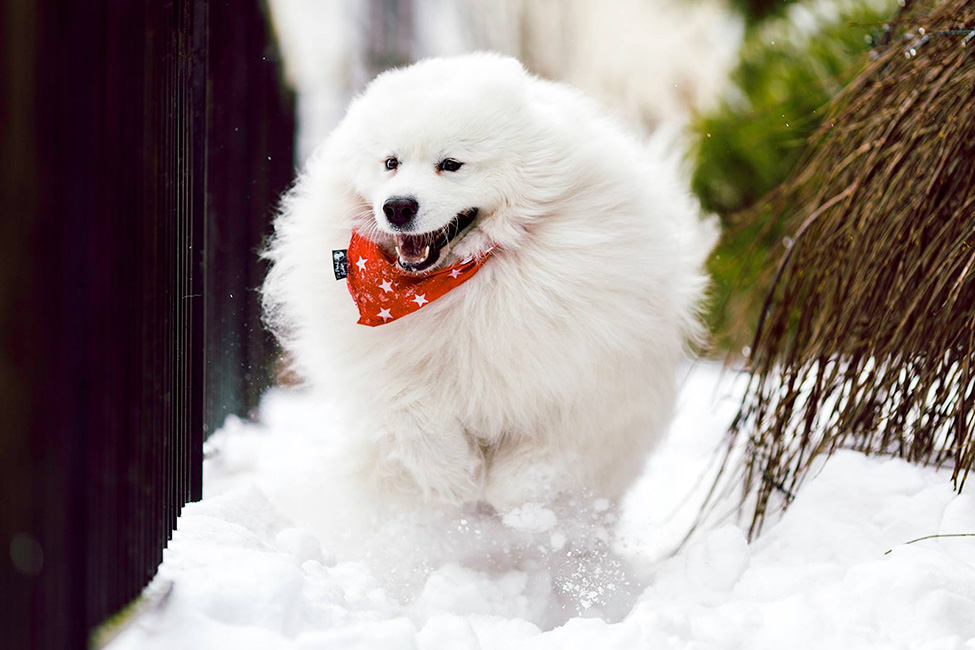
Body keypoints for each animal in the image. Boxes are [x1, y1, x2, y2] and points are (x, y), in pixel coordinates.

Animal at [264, 53, 712, 512]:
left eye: (451, 164)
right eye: (391, 163)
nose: (398, 206)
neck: (463, 280)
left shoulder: (583, 381)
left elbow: (544, 456)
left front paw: (511, 497)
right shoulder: (386, 370)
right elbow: (412, 413)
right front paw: (455, 478)